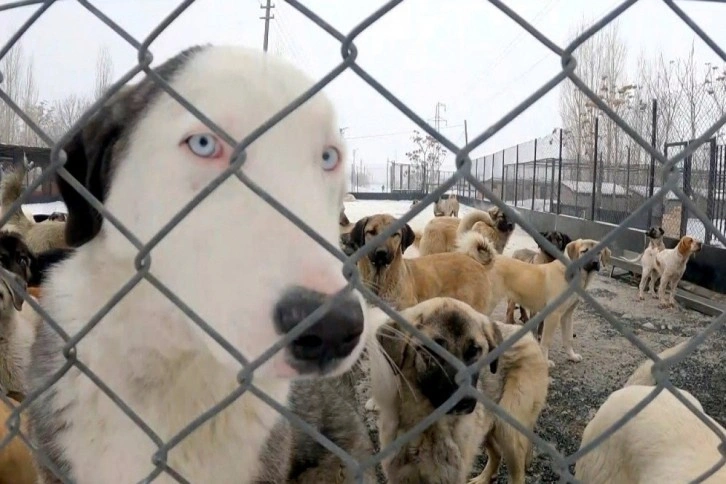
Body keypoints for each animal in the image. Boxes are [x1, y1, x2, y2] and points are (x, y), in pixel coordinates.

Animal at [372, 298, 548, 484]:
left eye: (473, 350)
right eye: (431, 351)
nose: (465, 401)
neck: (426, 426)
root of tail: (530, 338)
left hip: (507, 428)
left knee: (517, 473)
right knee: (496, 453)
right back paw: (484, 478)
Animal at [486, 237, 612, 366]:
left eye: (599, 253)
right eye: (584, 251)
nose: (595, 263)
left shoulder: (567, 315)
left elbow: (568, 338)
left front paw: (571, 356)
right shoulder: (553, 315)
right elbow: (546, 341)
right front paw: (545, 361)